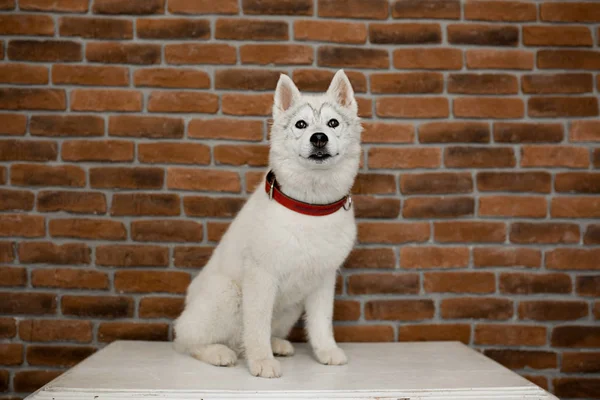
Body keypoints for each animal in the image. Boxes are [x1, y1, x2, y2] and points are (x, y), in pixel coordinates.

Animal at [173, 69, 360, 378]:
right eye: (301, 124)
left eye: (332, 123)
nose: (319, 138)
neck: (310, 207)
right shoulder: (261, 277)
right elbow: (257, 326)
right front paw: (261, 361)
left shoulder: (323, 279)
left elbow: (321, 322)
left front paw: (326, 351)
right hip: (227, 294)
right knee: (187, 339)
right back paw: (219, 352)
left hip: (290, 307)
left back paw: (276, 344)